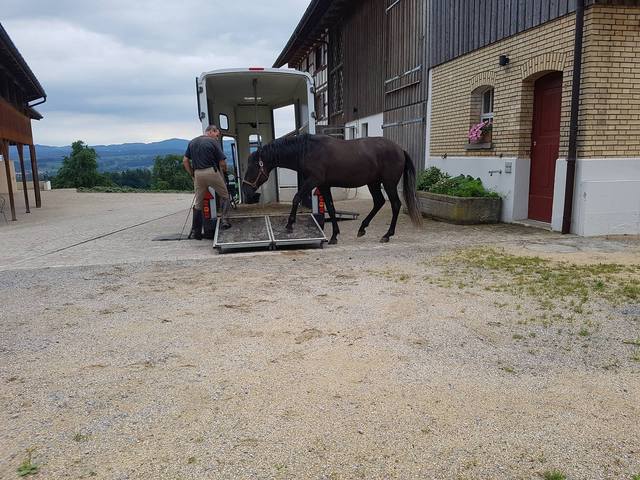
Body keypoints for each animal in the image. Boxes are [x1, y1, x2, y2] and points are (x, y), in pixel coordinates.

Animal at [242, 134, 422, 244]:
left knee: (395, 205)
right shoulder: (324, 185)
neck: (308, 150)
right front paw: (334, 236)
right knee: (379, 202)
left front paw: (289, 225)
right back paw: (362, 229)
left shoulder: (314, 181)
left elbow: (296, 197)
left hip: (388, 183)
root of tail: (400, 149)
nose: (245, 191)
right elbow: (331, 208)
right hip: (373, 183)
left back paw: (387, 235)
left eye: (252, 167)